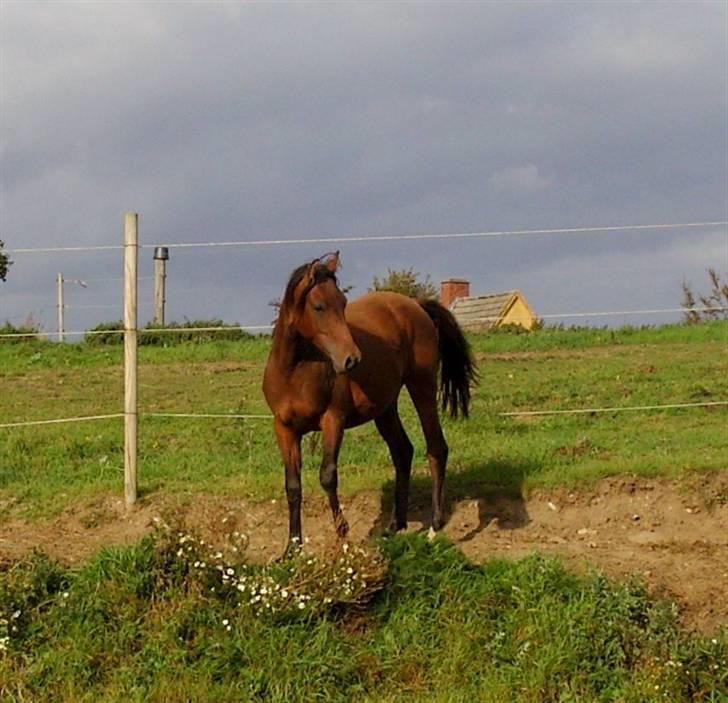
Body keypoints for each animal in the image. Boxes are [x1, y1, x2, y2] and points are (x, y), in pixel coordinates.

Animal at [262, 253, 478, 556]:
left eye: (343, 303)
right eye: (319, 306)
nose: (351, 359)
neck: (296, 371)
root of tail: (416, 306)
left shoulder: (333, 421)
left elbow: (328, 476)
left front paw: (342, 537)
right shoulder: (284, 429)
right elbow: (293, 486)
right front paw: (292, 549)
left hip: (422, 387)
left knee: (436, 448)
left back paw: (434, 527)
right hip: (385, 408)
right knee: (403, 452)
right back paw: (394, 525)